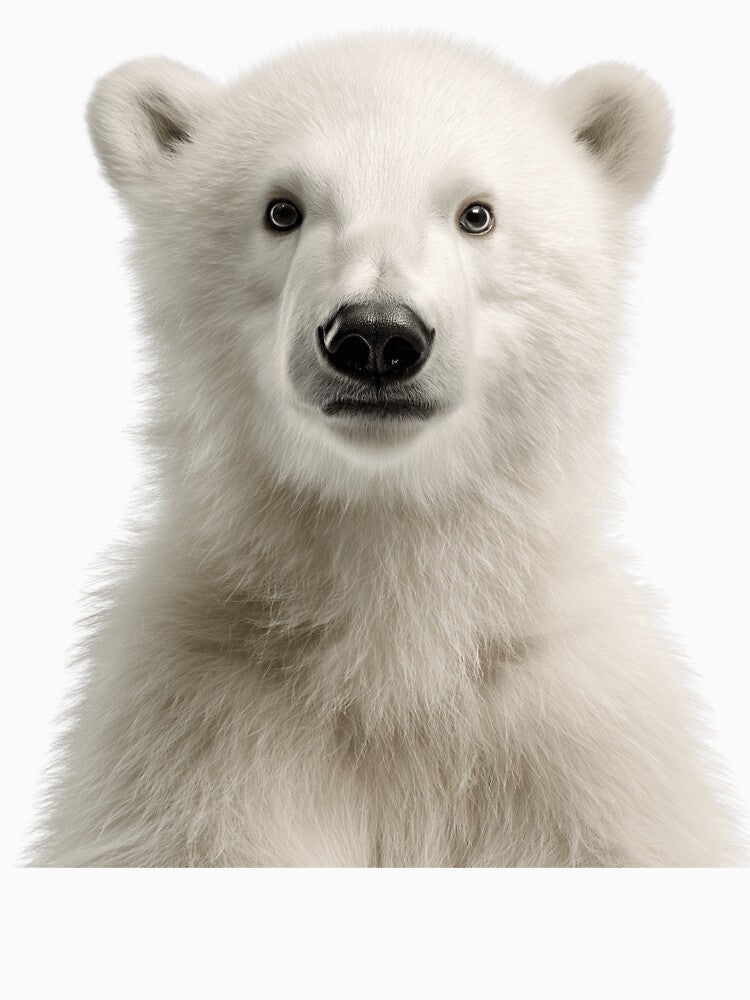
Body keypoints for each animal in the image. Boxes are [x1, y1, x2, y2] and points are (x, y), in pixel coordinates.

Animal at [30, 31, 744, 866]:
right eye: (282, 209)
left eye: (477, 213)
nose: (374, 336)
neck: (393, 649)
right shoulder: (193, 734)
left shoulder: (576, 749)